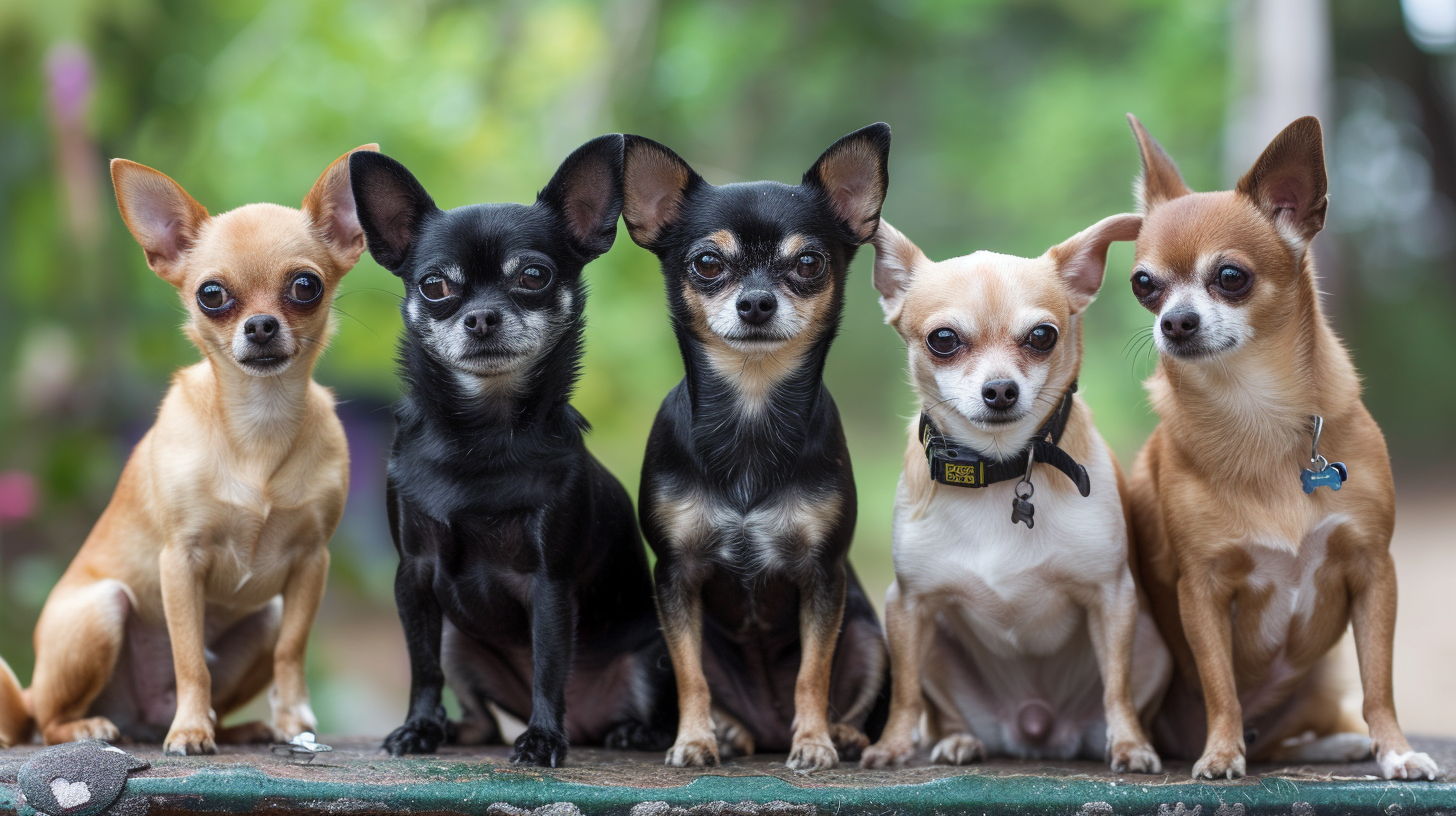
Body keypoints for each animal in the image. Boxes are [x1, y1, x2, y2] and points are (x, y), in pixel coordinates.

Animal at [0, 147, 369, 751]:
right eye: (211, 295)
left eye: (305, 286)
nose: (261, 325)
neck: (258, 422)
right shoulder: (180, 562)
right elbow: (190, 656)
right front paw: (192, 729)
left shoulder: (311, 561)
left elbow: (293, 649)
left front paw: (294, 720)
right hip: (100, 611)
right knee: (46, 723)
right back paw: (91, 726)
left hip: (265, 615)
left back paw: (244, 728)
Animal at [349, 136, 672, 769]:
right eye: (435, 286)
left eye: (532, 275)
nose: (481, 316)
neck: (482, 435)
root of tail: (589, 724)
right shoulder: (414, 576)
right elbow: (421, 667)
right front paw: (418, 726)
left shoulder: (549, 584)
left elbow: (549, 666)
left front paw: (543, 737)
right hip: (459, 642)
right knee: (477, 712)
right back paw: (452, 729)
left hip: (653, 658)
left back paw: (626, 732)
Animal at [620, 122, 891, 769]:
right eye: (708, 263)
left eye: (809, 262)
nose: (757, 302)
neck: (750, 409)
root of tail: (765, 729)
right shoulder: (676, 576)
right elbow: (693, 676)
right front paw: (693, 740)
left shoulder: (823, 577)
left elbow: (812, 673)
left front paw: (814, 741)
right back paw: (731, 733)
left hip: (867, 635)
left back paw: (841, 734)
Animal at [856, 217, 1164, 769]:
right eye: (943, 340)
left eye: (1042, 336)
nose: (1000, 389)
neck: (1000, 468)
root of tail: (1034, 729)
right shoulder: (908, 605)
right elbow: (907, 692)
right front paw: (890, 746)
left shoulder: (1113, 599)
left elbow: (1118, 686)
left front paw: (1130, 744)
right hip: (936, 644)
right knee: (940, 709)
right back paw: (958, 740)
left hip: (1155, 647)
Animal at [1124, 112, 1432, 775]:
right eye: (1144, 285)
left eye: (1230, 276)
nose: (1174, 321)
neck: (1256, 413)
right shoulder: (1202, 590)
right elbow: (1220, 684)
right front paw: (1220, 753)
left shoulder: (1373, 570)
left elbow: (1379, 680)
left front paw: (1395, 751)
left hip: (1321, 676)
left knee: (1302, 725)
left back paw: (1343, 743)